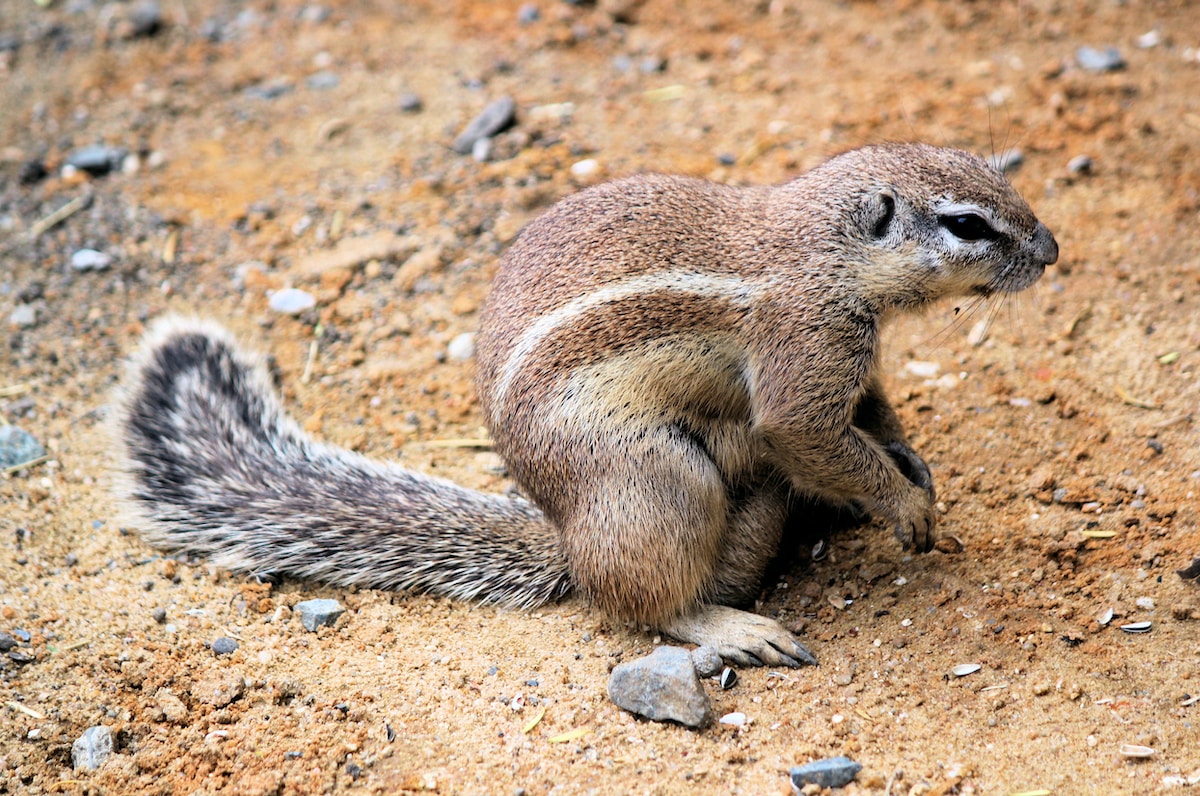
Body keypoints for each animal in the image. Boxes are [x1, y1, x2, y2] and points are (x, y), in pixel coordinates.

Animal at [114, 141, 1060, 667]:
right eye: (966, 224)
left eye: (996, 176)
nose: (1052, 249)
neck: (822, 250)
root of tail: (565, 533)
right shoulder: (807, 346)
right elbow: (808, 428)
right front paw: (904, 505)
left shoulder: (850, 360)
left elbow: (872, 413)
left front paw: (910, 463)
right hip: (655, 479)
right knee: (643, 600)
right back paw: (729, 626)